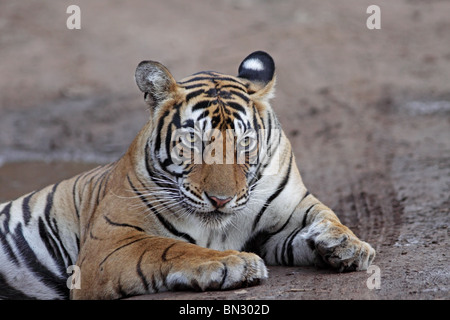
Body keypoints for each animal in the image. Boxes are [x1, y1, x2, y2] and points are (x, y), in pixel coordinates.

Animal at [0, 51, 374, 298]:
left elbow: (326, 215)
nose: (221, 200)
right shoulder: (108, 243)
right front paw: (234, 263)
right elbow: (167, 247)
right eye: (194, 141)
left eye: (245, 143)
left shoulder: (286, 215)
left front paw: (348, 245)